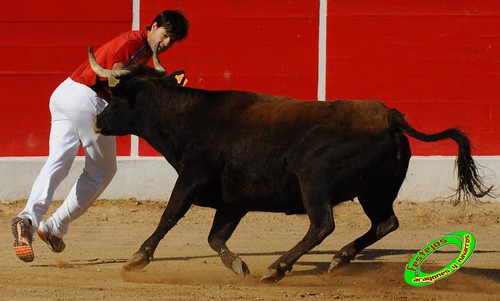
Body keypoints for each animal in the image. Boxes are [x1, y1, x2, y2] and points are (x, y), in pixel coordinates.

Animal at [89, 44, 492, 282]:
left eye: (116, 95)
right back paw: (338, 260)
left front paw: (137, 258)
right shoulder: (234, 201)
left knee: (322, 225)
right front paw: (238, 265)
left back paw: (278, 266)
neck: (190, 117)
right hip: (375, 191)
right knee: (385, 222)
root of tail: (390, 115)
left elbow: (170, 214)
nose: (97, 121)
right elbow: (215, 236)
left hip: (314, 182)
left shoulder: (192, 176)